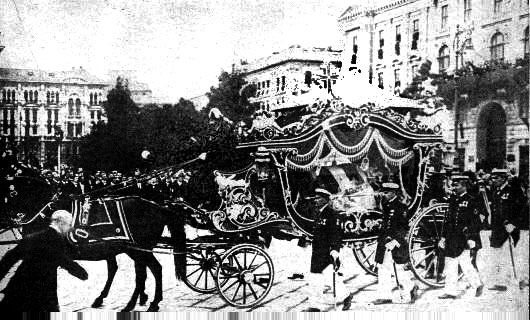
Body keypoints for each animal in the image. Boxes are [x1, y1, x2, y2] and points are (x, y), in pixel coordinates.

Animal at [0, 174, 186, 312]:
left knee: (152, 270)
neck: (46, 209)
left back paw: (142, 304)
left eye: (9, 193)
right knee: (141, 272)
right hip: (137, 250)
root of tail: (159, 207)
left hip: (139, 249)